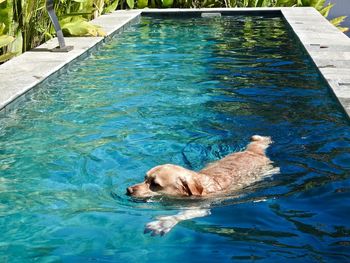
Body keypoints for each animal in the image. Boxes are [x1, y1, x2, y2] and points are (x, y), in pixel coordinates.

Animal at [126, 135, 278, 236]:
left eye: (155, 184)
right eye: (145, 178)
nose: (128, 190)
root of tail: (252, 151)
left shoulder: (200, 207)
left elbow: (181, 215)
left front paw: (164, 222)